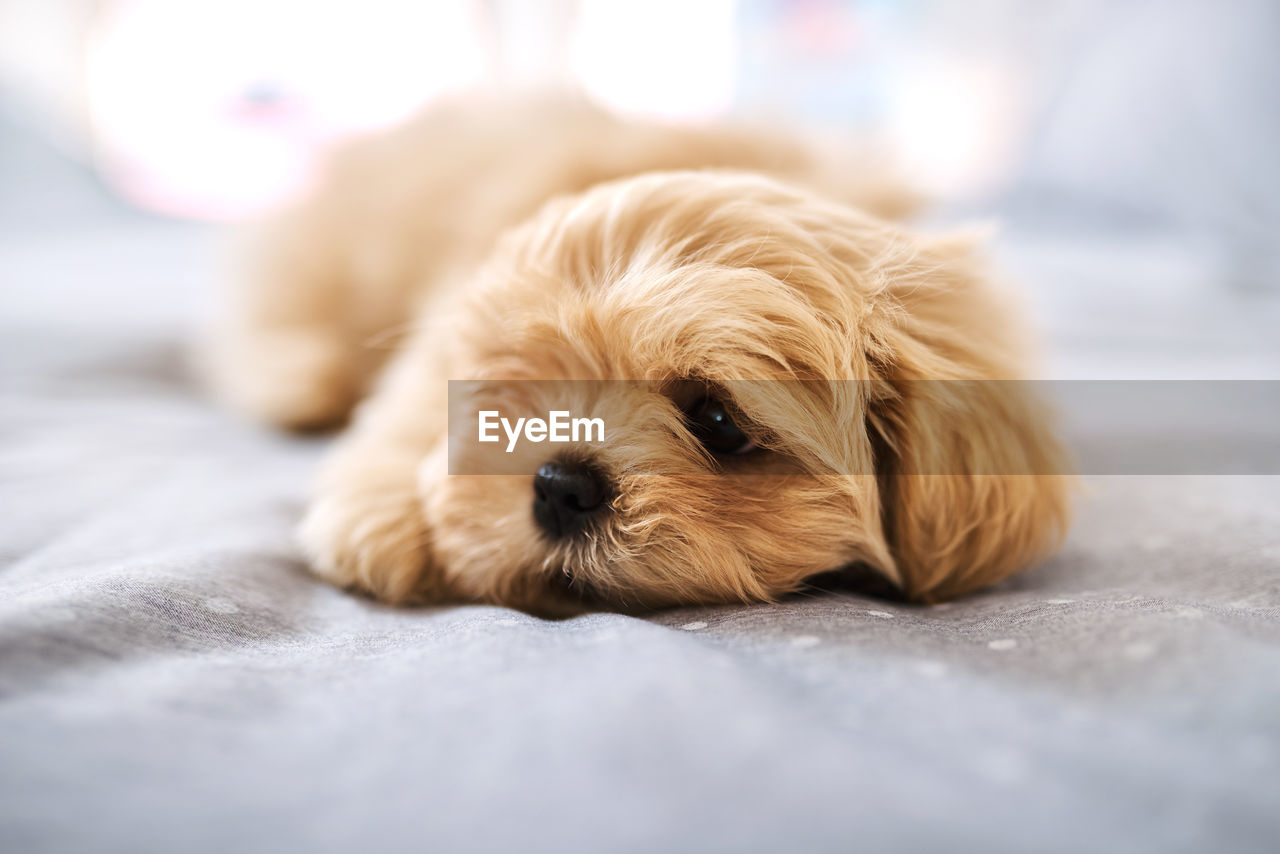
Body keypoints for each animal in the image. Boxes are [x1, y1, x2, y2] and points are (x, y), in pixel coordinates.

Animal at [209, 95, 1070, 614]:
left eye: (719, 421)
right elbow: (411, 399)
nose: (560, 484)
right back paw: (298, 377)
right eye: (515, 396)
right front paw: (387, 511)